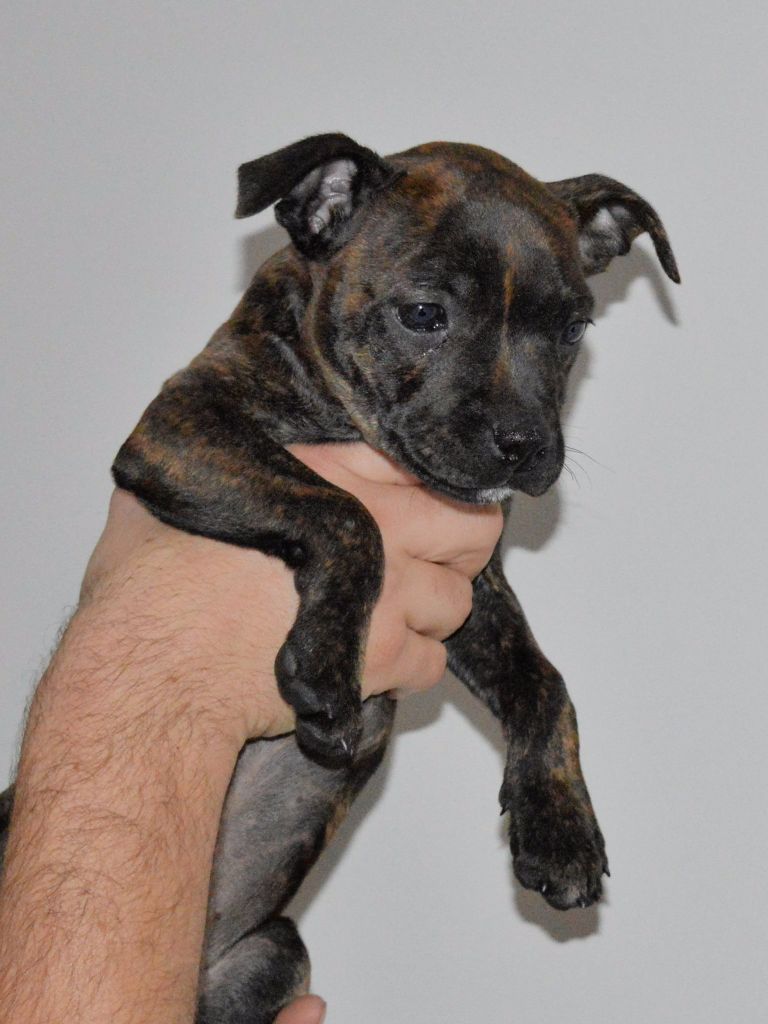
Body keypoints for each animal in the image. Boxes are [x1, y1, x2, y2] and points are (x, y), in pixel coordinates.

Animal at [0, 134, 679, 1023]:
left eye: (571, 329)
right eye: (423, 316)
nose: (525, 445)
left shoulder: (473, 591)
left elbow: (544, 679)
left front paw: (560, 827)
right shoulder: (183, 427)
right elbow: (345, 511)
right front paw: (324, 671)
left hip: (271, 956)